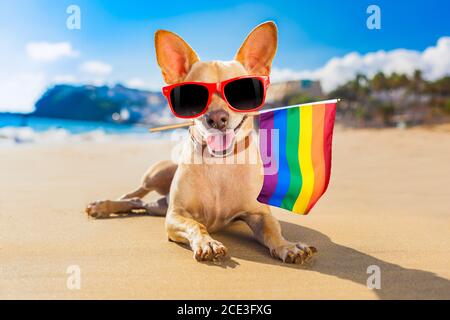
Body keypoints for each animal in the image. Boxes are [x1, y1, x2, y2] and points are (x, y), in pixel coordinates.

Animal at [85, 21, 316, 264]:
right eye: (193, 96)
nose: (217, 118)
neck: (220, 163)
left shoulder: (258, 214)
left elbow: (273, 230)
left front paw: (287, 246)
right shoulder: (176, 215)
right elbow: (196, 224)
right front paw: (208, 243)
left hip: (157, 206)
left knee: (139, 204)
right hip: (156, 174)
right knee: (134, 194)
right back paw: (103, 205)